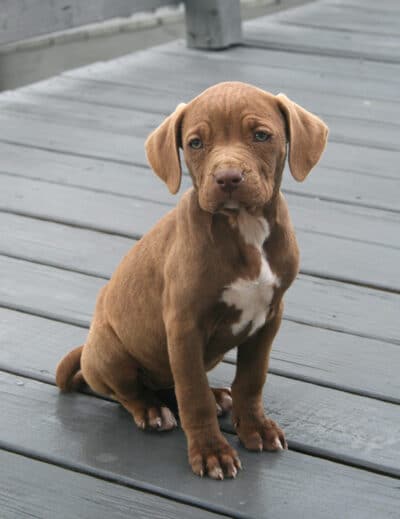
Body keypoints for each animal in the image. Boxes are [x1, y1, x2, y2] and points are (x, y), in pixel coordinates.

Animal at [57, 81, 330, 480]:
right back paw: (152, 411)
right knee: (131, 393)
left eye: (261, 135)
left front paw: (255, 428)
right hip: (110, 349)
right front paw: (212, 452)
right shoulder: (184, 327)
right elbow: (192, 394)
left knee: (172, 383)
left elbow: (251, 379)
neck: (243, 227)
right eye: (196, 143)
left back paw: (217, 397)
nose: (228, 178)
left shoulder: (270, 317)